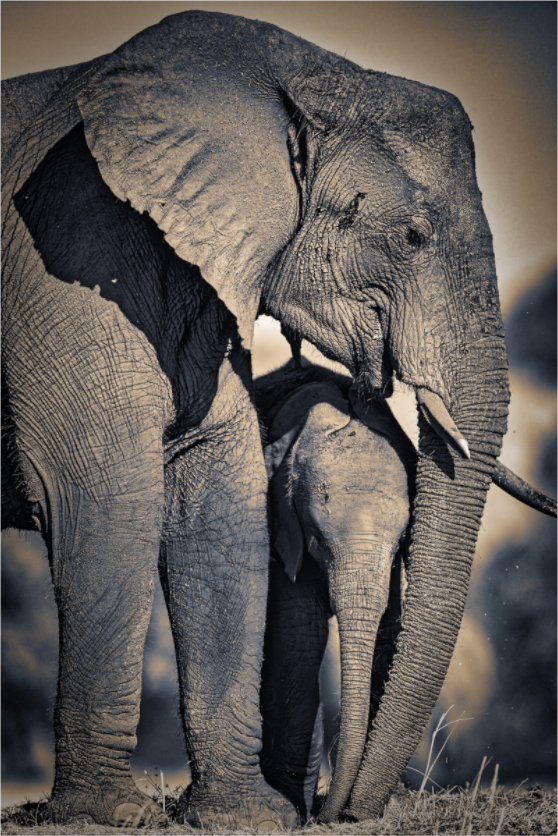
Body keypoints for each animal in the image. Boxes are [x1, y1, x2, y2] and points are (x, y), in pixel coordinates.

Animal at [1, 8, 557, 826]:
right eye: (412, 237)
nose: (345, 812)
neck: (296, 71)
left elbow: (218, 495)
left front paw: (247, 818)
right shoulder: (69, 243)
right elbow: (102, 490)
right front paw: (110, 815)